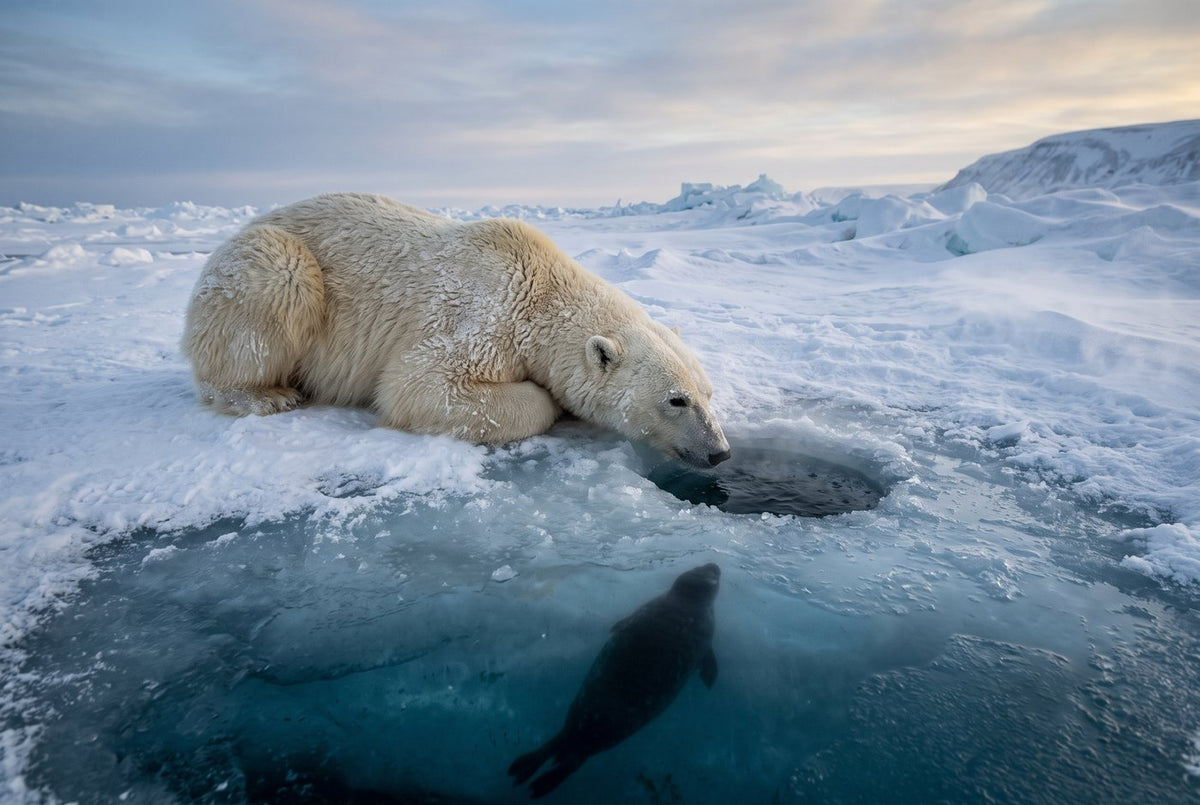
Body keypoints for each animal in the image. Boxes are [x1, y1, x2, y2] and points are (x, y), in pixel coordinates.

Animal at [181, 193, 730, 467]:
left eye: (708, 392)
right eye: (676, 399)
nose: (720, 452)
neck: (538, 286)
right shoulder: (480, 315)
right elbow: (419, 385)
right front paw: (545, 400)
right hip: (266, 265)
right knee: (279, 283)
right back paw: (268, 395)